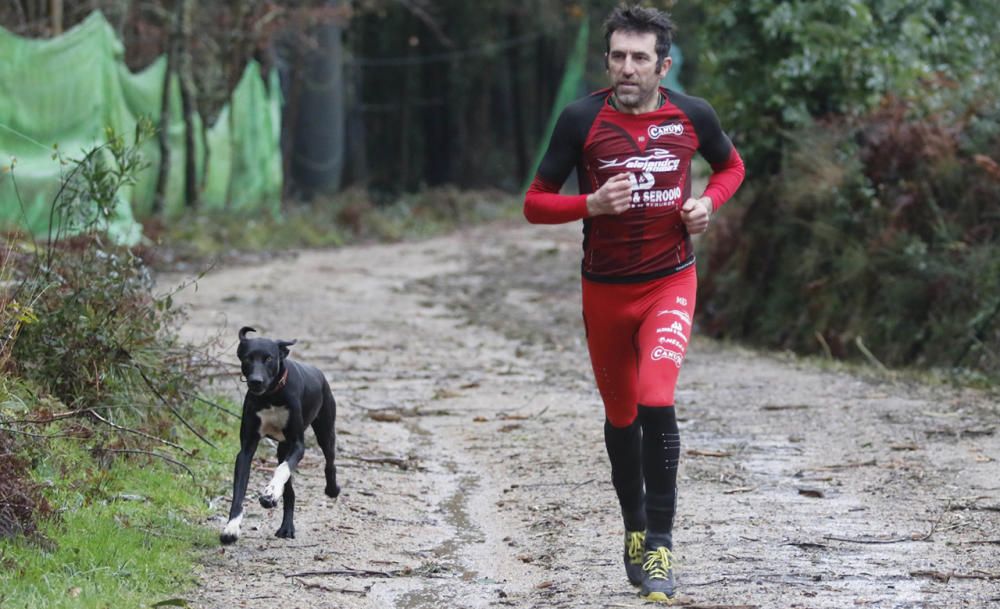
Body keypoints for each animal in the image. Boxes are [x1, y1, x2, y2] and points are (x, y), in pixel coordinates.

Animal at [221, 326, 342, 544]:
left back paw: (331, 489)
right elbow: (238, 492)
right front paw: (231, 527)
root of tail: (319, 373)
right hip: (282, 448)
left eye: (269, 358)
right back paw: (286, 527)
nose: (256, 381)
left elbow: (282, 470)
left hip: (324, 430)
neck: (271, 396)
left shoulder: (297, 444)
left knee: (330, 461)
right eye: (247, 358)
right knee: (290, 492)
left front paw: (270, 492)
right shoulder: (246, 449)